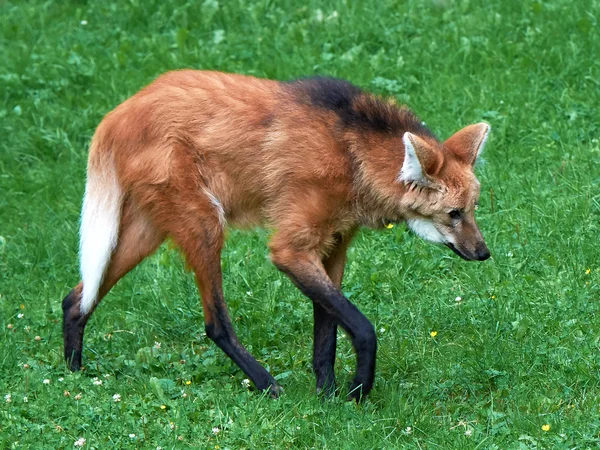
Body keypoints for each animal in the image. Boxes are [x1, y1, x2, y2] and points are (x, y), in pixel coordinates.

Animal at [61, 70, 490, 400]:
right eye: (453, 214)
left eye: (472, 209)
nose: (483, 253)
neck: (352, 158)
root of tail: (118, 114)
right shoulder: (290, 249)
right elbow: (362, 327)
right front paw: (357, 389)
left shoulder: (333, 248)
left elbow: (327, 333)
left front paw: (327, 396)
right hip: (204, 223)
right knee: (215, 323)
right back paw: (267, 385)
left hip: (149, 229)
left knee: (76, 297)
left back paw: (73, 373)